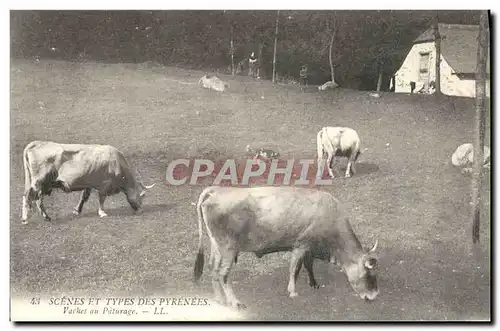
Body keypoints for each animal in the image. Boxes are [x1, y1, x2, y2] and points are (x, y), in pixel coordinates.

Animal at [21, 141, 156, 224]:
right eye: (142, 195)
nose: (141, 210)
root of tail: (37, 143)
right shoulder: (104, 185)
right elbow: (101, 199)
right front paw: (102, 212)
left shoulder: (88, 183)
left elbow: (84, 197)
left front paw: (77, 210)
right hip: (38, 182)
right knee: (30, 197)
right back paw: (26, 218)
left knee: (36, 198)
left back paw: (45, 217)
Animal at [192, 187, 378, 312]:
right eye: (368, 274)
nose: (374, 296)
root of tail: (217, 190)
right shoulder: (301, 245)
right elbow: (295, 269)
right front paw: (293, 291)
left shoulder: (308, 247)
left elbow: (308, 265)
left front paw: (313, 283)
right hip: (229, 248)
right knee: (223, 274)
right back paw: (235, 302)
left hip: (217, 246)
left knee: (213, 269)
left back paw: (219, 299)